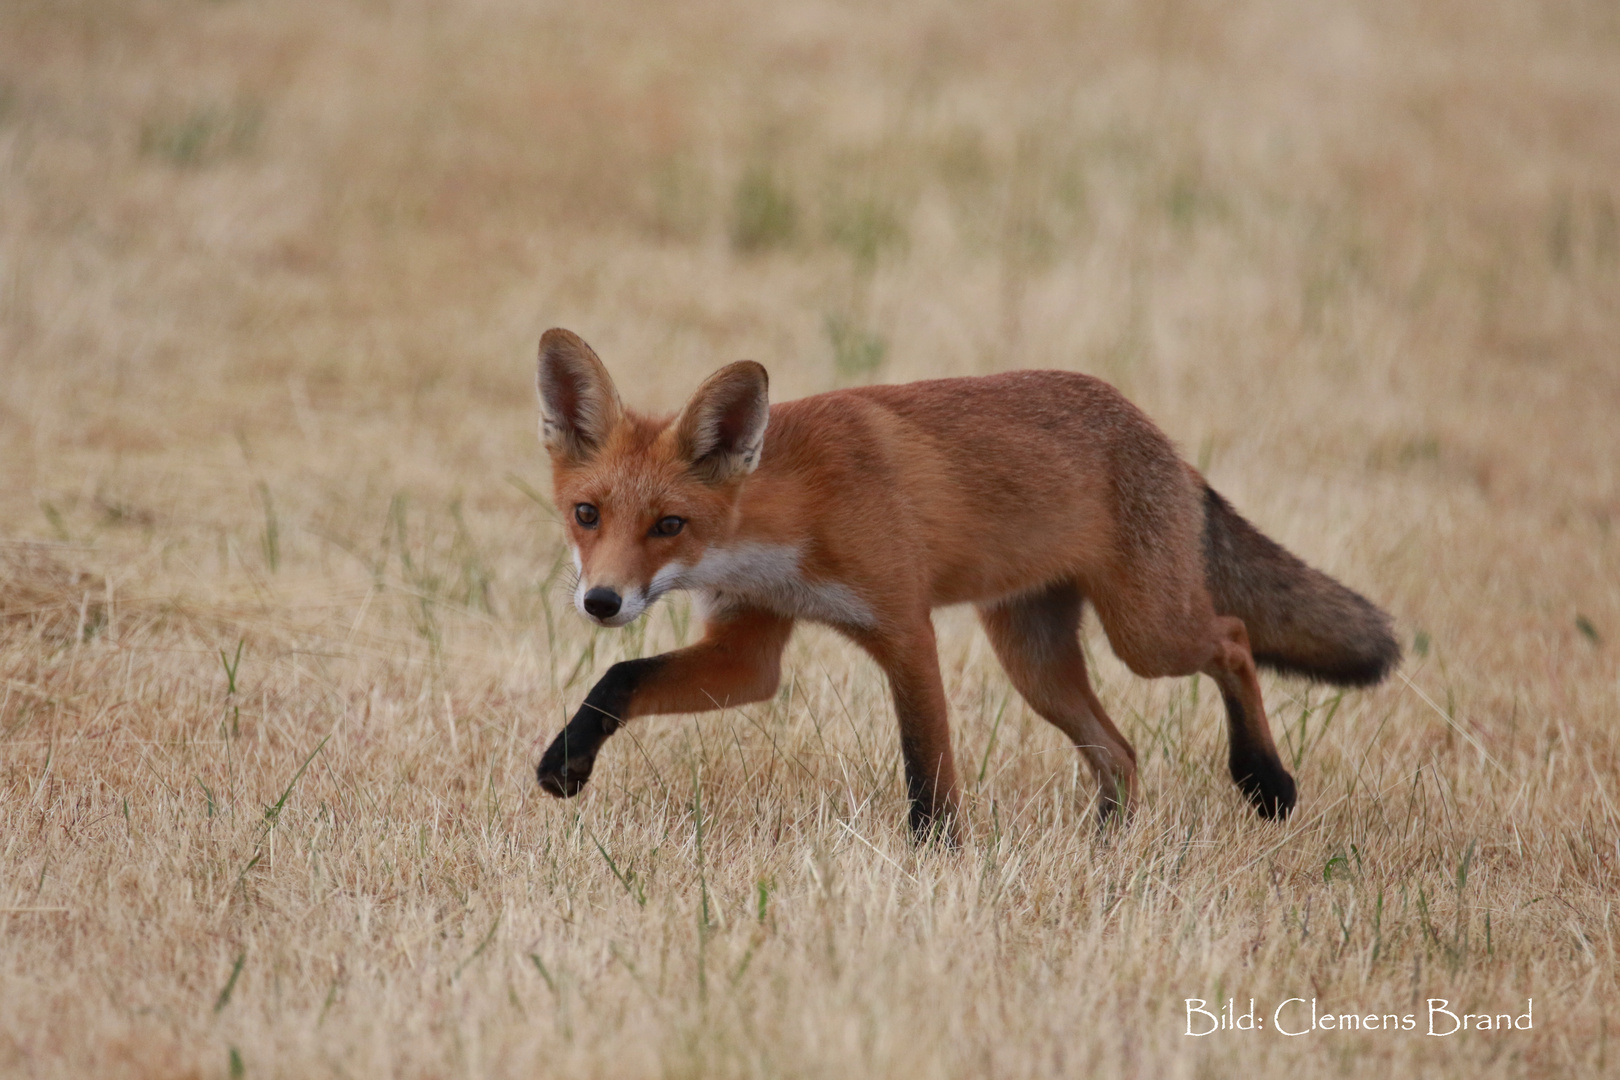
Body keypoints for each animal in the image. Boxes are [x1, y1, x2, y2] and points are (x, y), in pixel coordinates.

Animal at [531, 325, 1393, 841]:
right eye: (587, 514)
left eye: (668, 525)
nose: (601, 601)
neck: (785, 525)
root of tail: (1163, 439)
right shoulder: (750, 648)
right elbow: (620, 678)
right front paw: (566, 762)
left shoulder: (904, 628)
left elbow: (928, 765)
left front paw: (937, 855)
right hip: (1035, 662)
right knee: (1120, 753)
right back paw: (1109, 852)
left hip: (1147, 634)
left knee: (1234, 641)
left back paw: (1264, 780)